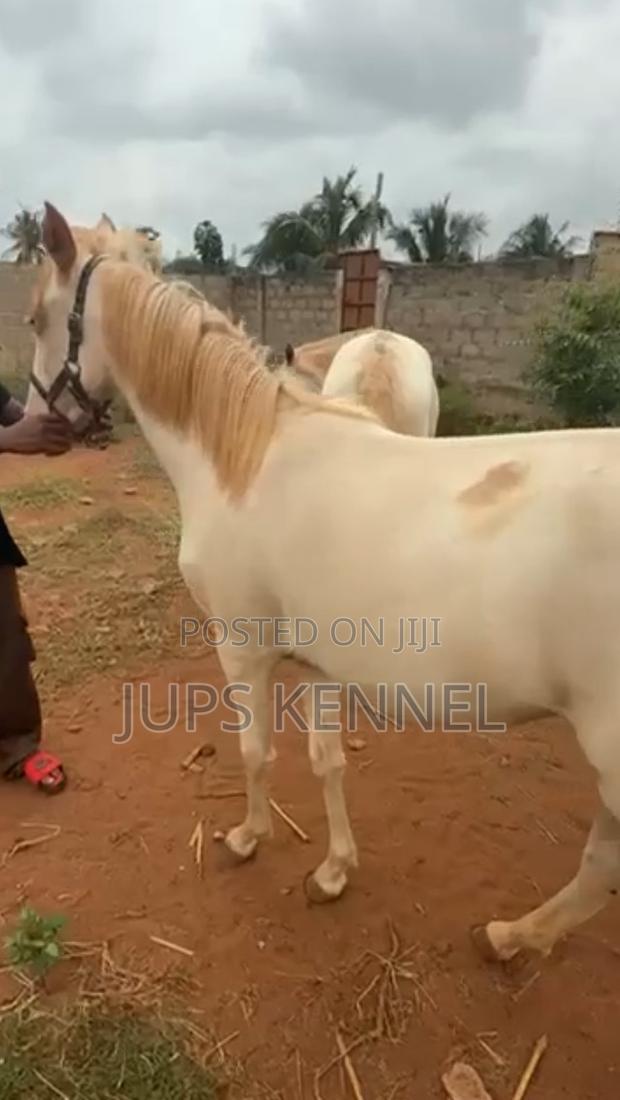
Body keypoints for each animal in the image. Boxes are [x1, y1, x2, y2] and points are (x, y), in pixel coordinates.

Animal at [27, 200, 620, 969]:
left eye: (37, 318)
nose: (40, 419)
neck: (245, 457)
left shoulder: (242, 651)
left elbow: (255, 753)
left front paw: (248, 838)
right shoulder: (321, 663)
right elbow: (326, 760)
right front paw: (335, 871)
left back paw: (511, 936)